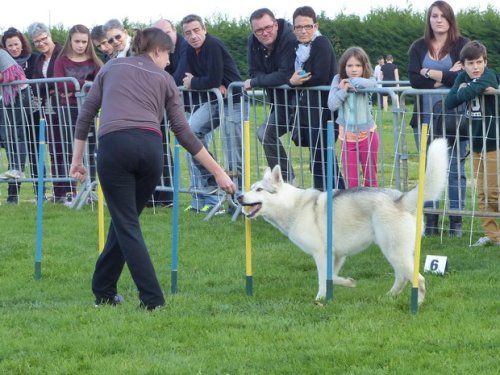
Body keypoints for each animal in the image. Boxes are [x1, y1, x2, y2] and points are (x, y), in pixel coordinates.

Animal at [238, 138, 450, 306]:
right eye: (251, 187)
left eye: (259, 190)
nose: (239, 196)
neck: (294, 206)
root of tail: (401, 199)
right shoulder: (336, 255)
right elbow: (331, 277)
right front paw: (347, 283)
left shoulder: (321, 254)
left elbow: (324, 279)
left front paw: (322, 298)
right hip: (396, 252)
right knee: (402, 277)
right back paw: (389, 297)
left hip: (394, 251)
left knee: (418, 279)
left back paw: (417, 303)